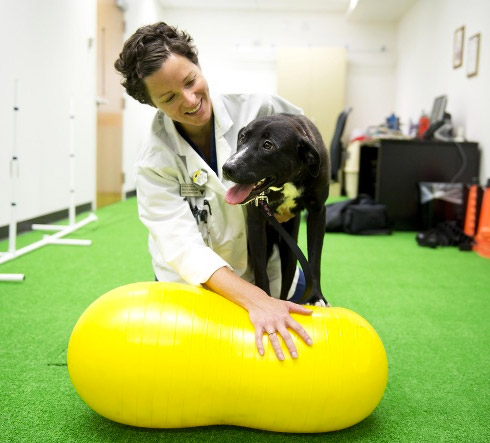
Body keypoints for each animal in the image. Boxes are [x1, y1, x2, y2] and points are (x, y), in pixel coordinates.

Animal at [224, 112, 332, 306]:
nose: (227, 167)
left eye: (268, 145)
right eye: (242, 137)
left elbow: (315, 259)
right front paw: (264, 298)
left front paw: (316, 297)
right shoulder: (256, 221)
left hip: (290, 251)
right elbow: (261, 271)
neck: (288, 181)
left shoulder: (318, 212)